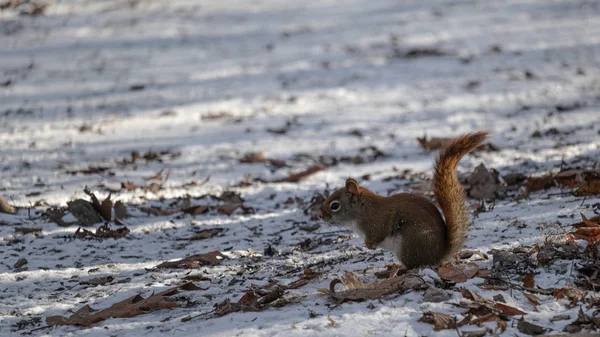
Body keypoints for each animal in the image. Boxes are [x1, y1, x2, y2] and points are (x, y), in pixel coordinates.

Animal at [318, 131, 488, 268]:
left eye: (335, 205)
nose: (320, 215)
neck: (362, 209)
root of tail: (438, 255)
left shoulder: (377, 221)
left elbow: (379, 232)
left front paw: (369, 245)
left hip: (408, 244)